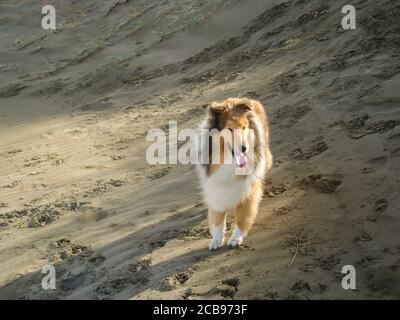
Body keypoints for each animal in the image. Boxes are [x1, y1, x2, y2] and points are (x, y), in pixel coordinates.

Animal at [196, 97, 274, 250]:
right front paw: (216, 240)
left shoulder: (248, 188)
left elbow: (242, 216)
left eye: (244, 127)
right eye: (230, 129)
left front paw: (236, 238)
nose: (244, 148)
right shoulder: (215, 184)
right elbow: (218, 217)